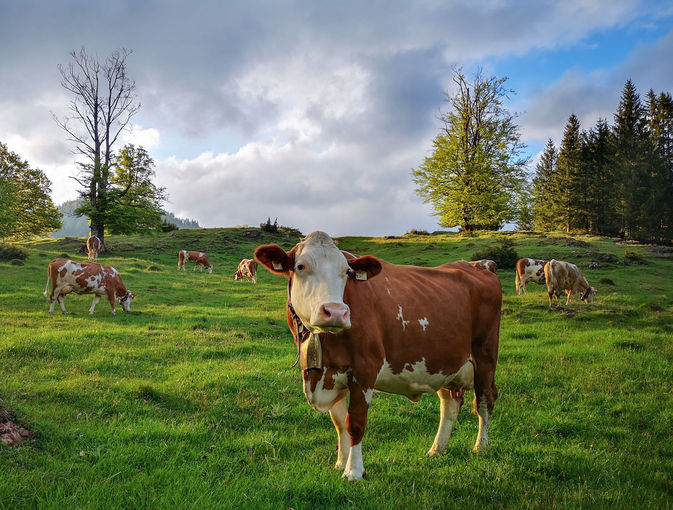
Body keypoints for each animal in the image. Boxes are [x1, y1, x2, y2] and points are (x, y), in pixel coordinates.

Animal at [255, 231, 502, 482]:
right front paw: (341, 462)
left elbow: (354, 422)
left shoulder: (365, 369)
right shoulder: (330, 372)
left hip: (485, 355)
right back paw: (437, 449)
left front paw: (354, 471)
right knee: (450, 403)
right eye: (301, 266)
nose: (336, 312)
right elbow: (339, 422)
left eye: (347, 272)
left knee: (485, 399)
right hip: (443, 362)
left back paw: (481, 446)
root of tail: (480, 264)